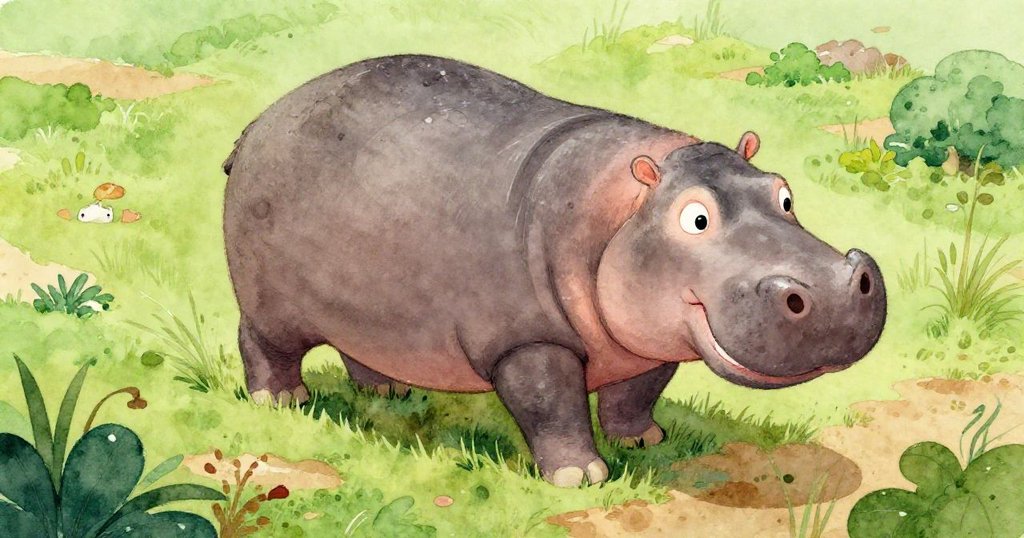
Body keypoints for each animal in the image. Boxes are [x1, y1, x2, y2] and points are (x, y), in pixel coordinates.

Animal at [222, 55, 886, 487]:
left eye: (784, 194)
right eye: (695, 218)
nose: (832, 287)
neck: (622, 205)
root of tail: (257, 122)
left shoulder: (646, 342)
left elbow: (638, 391)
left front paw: (643, 440)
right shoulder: (527, 341)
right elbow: (550, 404)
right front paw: (583, 477)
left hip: (371, 309)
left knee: (361, 348)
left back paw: (389, 391)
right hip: (269, 304)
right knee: (260, 342)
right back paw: (281, 402)